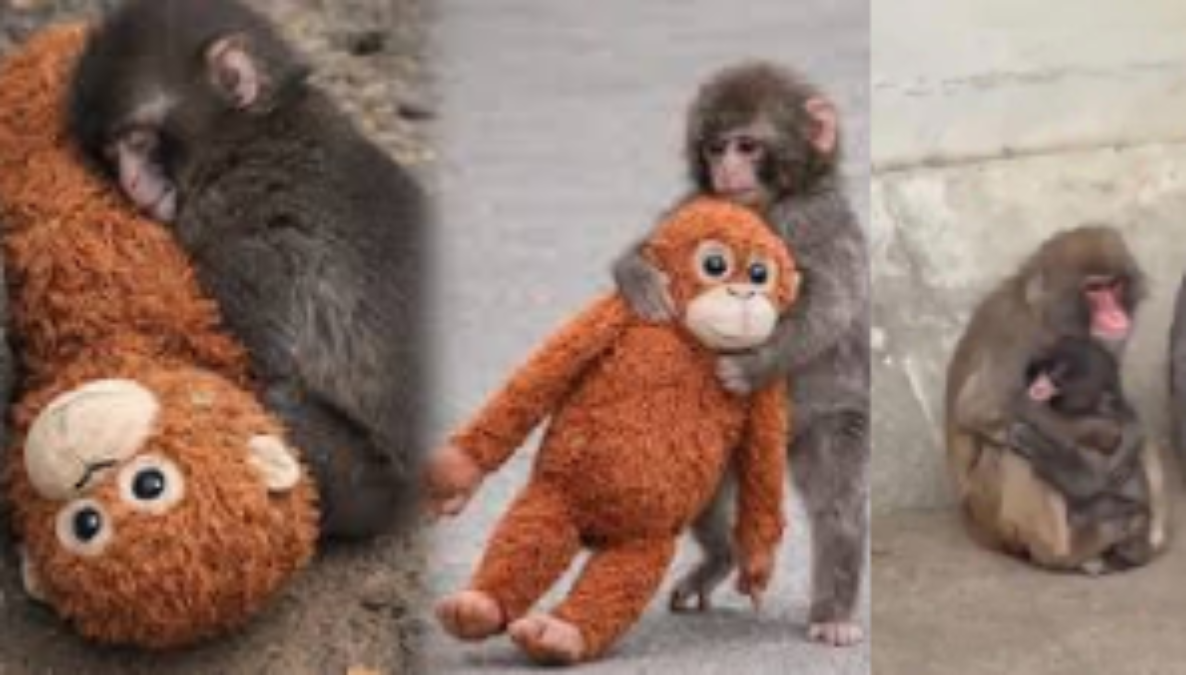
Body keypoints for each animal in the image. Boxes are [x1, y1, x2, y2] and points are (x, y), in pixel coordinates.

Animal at [67, 0, 426, 539]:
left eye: (139, 140)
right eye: (112, 153)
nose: (130, 182)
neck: (252, 131)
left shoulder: (245, 238)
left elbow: (261, 361)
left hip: (364, 482)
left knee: (276, 404)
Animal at [612, 62, 868, 645]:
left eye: (747, 146)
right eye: (714, 148)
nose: (726, 170)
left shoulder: (817, 218)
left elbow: (829, 307)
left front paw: (750, 367)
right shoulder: (698, 207)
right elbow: (655, 244)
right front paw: (639, 276)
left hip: (828, 420)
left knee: (837, 504)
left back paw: (833, 612)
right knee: (705, 490)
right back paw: (722, 557)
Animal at [946, 226, 1168, 573]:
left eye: (1115, 285)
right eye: (1094, 289)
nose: (1116, 315)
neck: (1048, 317)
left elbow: (1118, 403)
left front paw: (1130, 432)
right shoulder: (1017, 337)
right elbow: (983, 408)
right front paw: (1093, 456)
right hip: (989, 516)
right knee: (1010, 446)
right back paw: (1066, 552)